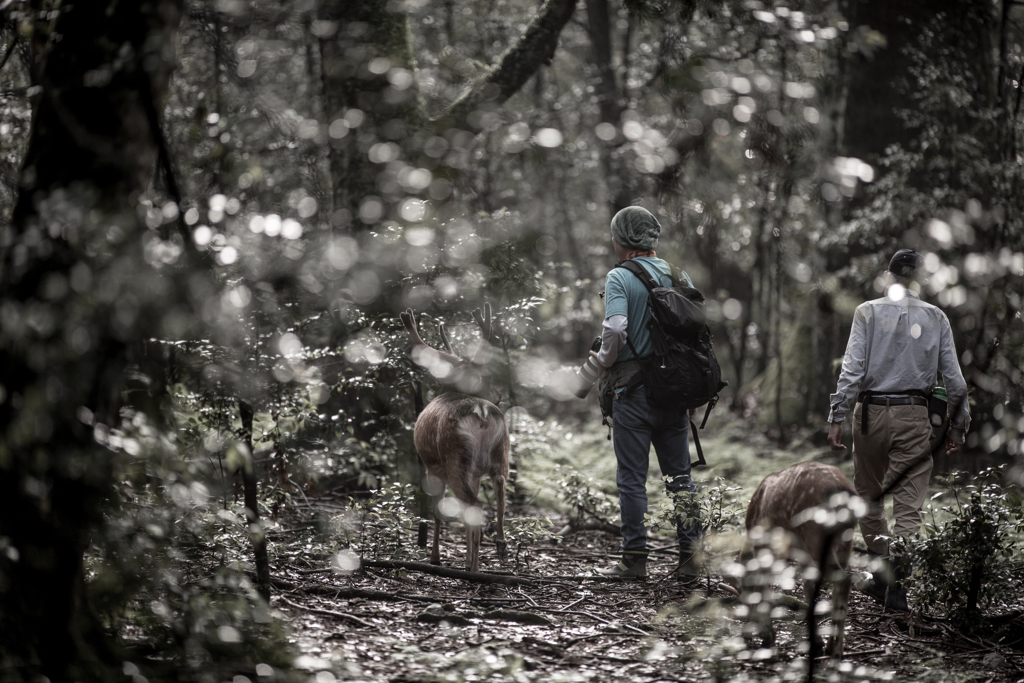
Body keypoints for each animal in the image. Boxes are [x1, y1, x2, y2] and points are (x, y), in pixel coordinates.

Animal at [399, 305, 512, 573]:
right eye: (485, 376)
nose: (499, 394)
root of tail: (481, 412)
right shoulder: (476, 474)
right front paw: (466, 558)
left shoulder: (431, 467)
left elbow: (438, 512)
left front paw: (435, 558)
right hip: (499, 453)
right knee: (500, 488)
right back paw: (499, 548)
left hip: (454, 457)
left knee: (475, 504)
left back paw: (474, 569)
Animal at [729, 462, 864, 659]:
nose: (747, 634)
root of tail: (841, 489)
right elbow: (807, 587)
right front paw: (816, 642)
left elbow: (764, 586)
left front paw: (764, 635)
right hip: (846, 539)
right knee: (841, 580)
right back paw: (831, 647)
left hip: (814, 534)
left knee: (842, 580)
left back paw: (836, 651)